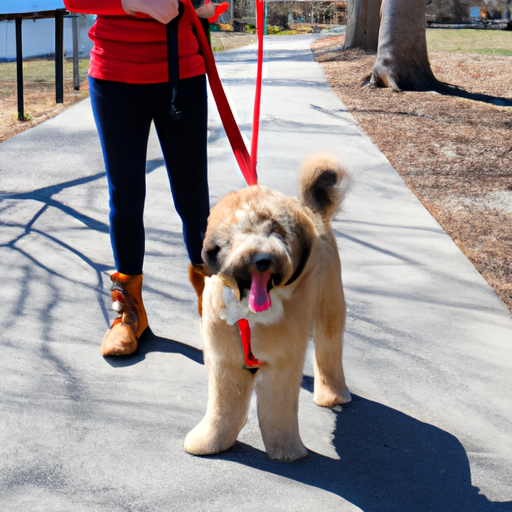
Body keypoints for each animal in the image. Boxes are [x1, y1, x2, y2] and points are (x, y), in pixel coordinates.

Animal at [185, 153, 352, 464]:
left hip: (330, 306)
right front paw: (211, 442)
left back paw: (333, 395)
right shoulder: (225, 362)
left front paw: (287, 451)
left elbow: (278, 412)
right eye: (236, 235)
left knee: (329, 347)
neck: (248, 314)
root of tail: (313, 211)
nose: (262, 259)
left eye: (276, 230)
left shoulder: (282, 364)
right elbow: (223, 409)